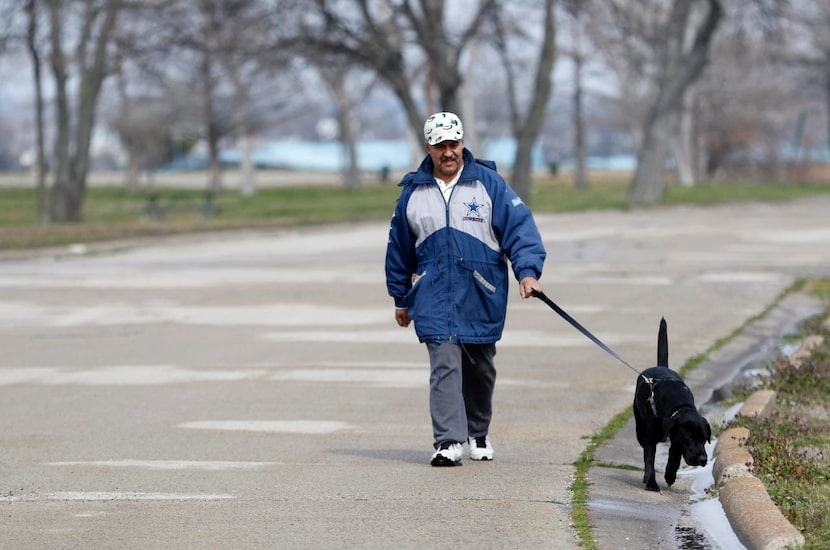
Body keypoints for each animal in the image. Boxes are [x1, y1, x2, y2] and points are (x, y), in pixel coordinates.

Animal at [632, 320, 712, 496]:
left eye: (704, 439)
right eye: (691, 438)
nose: (703, 459)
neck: (679, 406)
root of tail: (660, 366)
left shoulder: (677, 439)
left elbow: (674, 458)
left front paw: (669, 475)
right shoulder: (651, 439)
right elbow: (649, 460)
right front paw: (651, 482)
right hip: (639, 428)